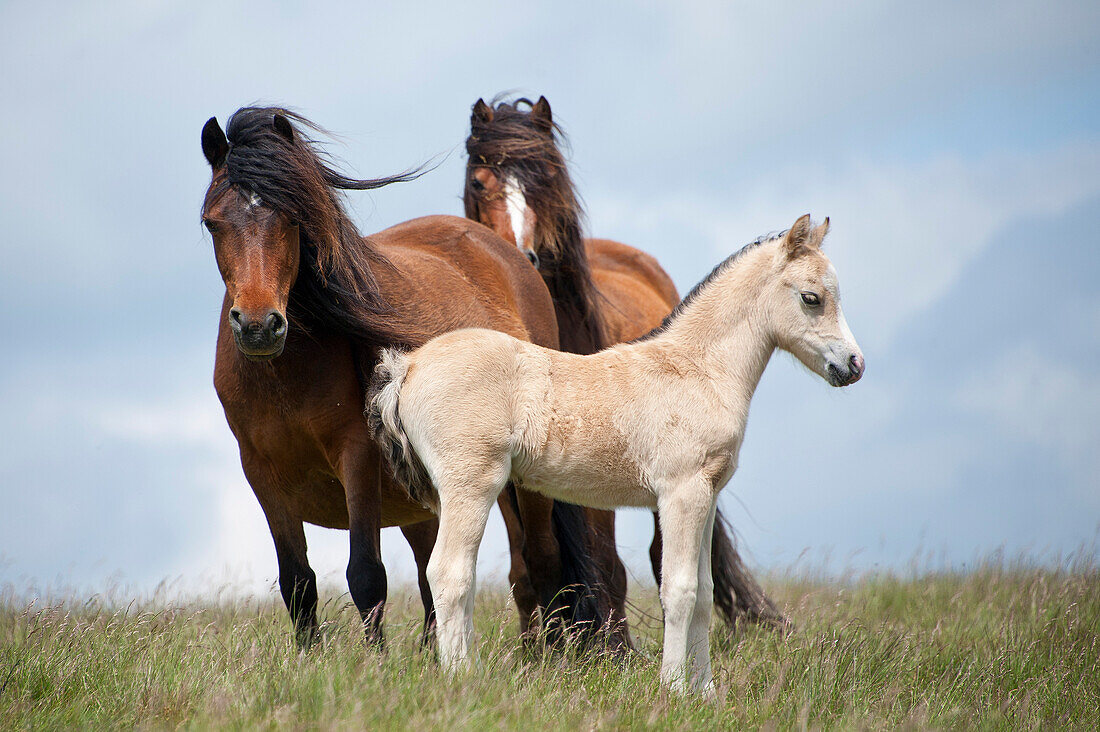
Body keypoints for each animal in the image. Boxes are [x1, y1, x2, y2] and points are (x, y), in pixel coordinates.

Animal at [200, 107, 611, 647]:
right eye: (211, 223)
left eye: (292, 218)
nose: (258, 325)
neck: (282, 377)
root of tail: (510, 255)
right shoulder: (263, 475)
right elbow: (298, 585)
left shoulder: (356, 458)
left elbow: (365, 576)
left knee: (542, 563)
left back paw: (548, 657)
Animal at [371, 215, 866, 691]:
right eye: (811, 297)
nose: (854, 365)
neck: (699, 370)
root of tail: (409, 366)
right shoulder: (681, 494)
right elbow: (680, 590)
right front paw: (674, 688)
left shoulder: (707, 496)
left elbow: (705, 592)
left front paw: (706, 691)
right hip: (471, 486)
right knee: (449, 574)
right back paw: (464, 677)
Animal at [464, 95, 792, 634]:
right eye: (478, 181)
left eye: (547, 178)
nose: (517, 257)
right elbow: (527, 564)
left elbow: (604, 560)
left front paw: (612, 642)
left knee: (662, 555)